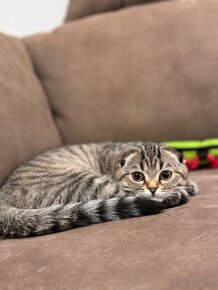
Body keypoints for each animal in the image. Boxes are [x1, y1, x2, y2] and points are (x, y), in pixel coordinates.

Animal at [0, 142, 198, 239]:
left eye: (165, 174)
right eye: (137, 176)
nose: (153, 188)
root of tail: (3, 196)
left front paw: (187, 184)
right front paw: (182, 188)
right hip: (86, 182)